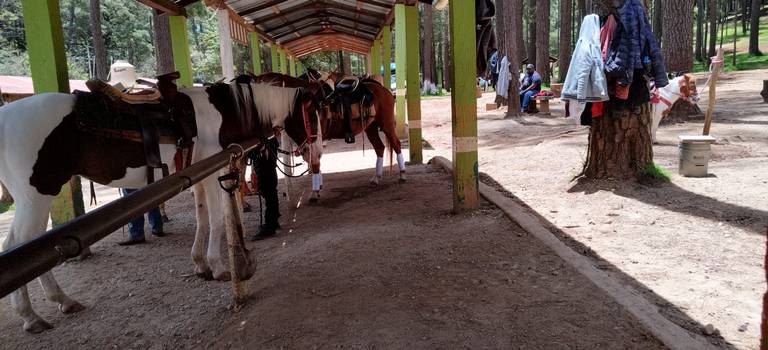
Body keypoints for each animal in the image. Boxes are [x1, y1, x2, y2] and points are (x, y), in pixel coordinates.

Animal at [0, 78, 304, 332]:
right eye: (309, 110)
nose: (305, 146)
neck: (220, 112)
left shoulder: (197, 175)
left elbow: (203, 218)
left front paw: (200, 264)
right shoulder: (211, 173)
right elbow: (216, 219)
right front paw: (218, 267)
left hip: (37, 199)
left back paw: (59, 302)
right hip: (35, 197)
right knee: (17, 244)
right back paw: (32, 315)